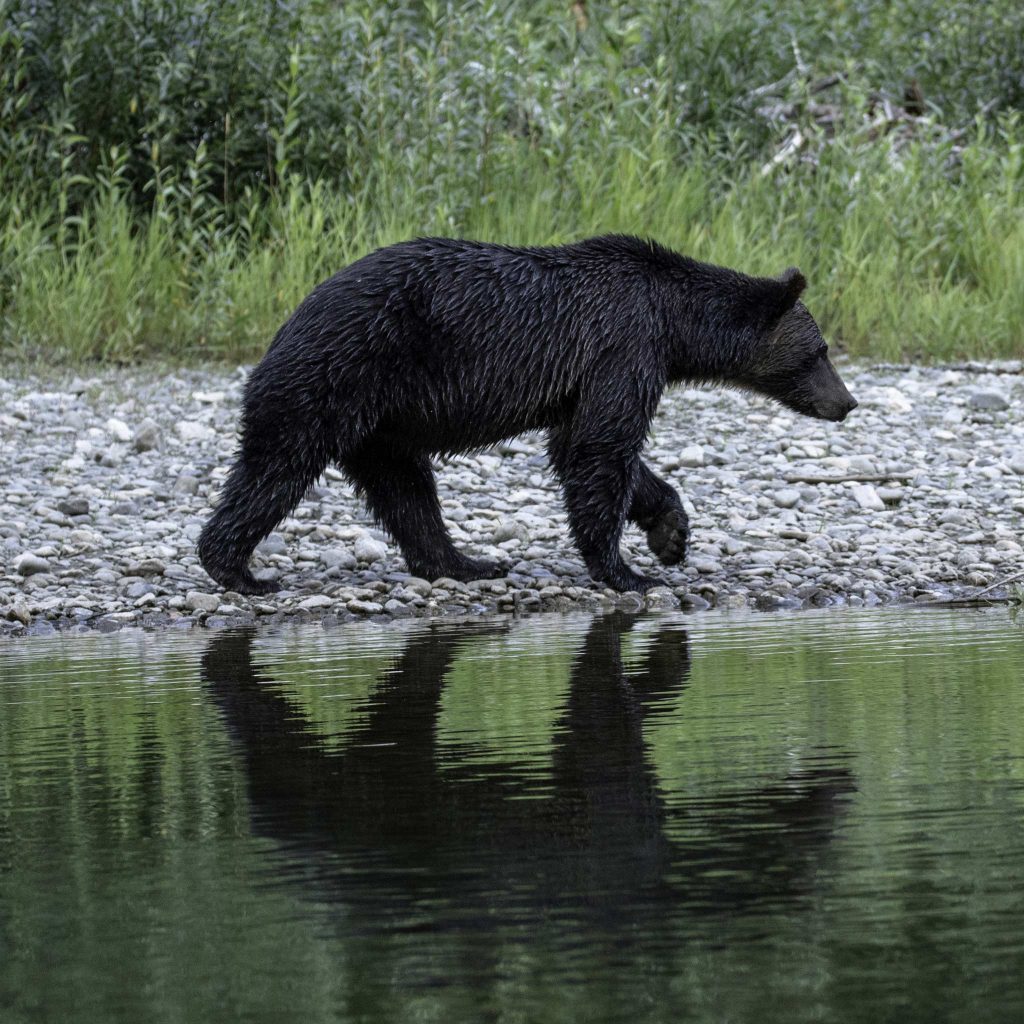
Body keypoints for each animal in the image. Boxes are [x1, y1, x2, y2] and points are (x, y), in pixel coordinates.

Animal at [195, 233, 851, 598]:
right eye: (820, 352)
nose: (847, 402)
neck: (672, 320)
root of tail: (287, 324)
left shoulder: (597, 370)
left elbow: (582, 446)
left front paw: (669, 532)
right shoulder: (624, 344)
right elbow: (601, 449)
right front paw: (627, 571)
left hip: (381, 423)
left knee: (406, 489)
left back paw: (466, 563)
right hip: (337, 373)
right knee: (279, 464)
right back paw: (237, 569)